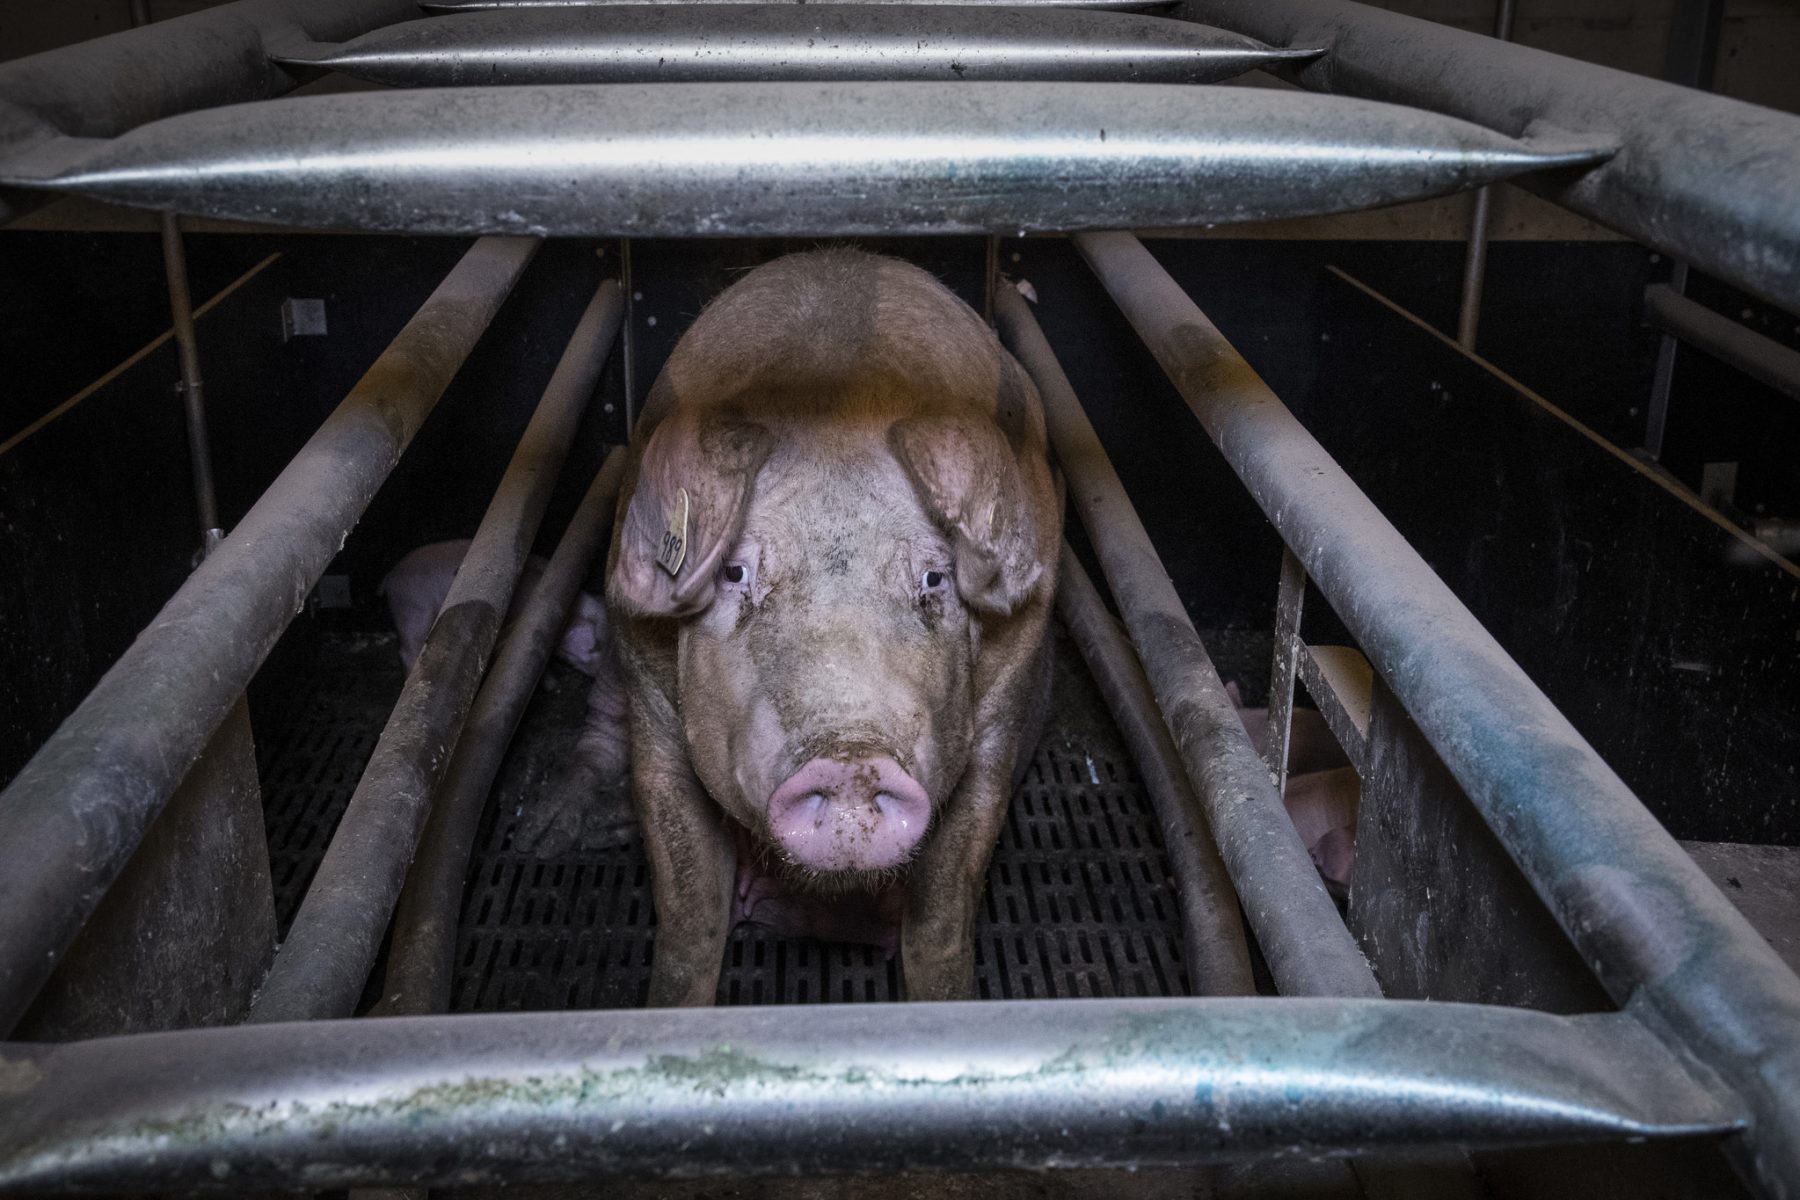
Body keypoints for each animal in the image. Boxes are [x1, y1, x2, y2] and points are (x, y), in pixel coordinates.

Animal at [603, 249, 1061, 1004]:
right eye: (735, 573)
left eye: (934, 579)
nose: (851, 757)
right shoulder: (647, 698)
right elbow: (690, 911)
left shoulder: (1007, 699)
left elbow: (942, 917)